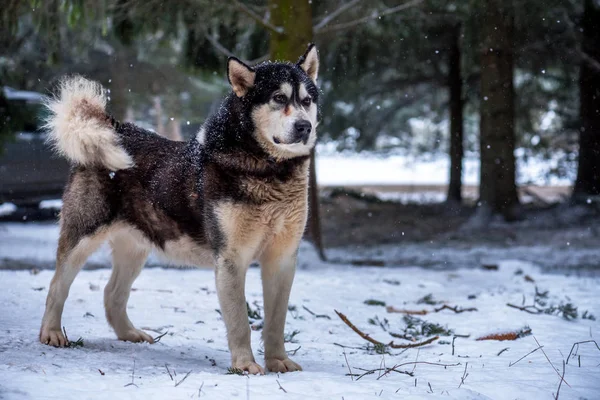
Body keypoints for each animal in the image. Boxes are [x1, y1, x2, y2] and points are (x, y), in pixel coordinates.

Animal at [39, 43, 322, 376]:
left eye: (307, 101)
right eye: (278, 98)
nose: (304, 127)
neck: (270, 171)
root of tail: (116, 128)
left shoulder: (282, 258)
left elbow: (276, 321)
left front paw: (278, 361)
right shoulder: (231, 258)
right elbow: (240, 321)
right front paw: (244, 365)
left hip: (136, 248)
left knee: (112, 294)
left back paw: (130, 334)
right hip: (83, 236)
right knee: (57, 285)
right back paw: (51, 333)